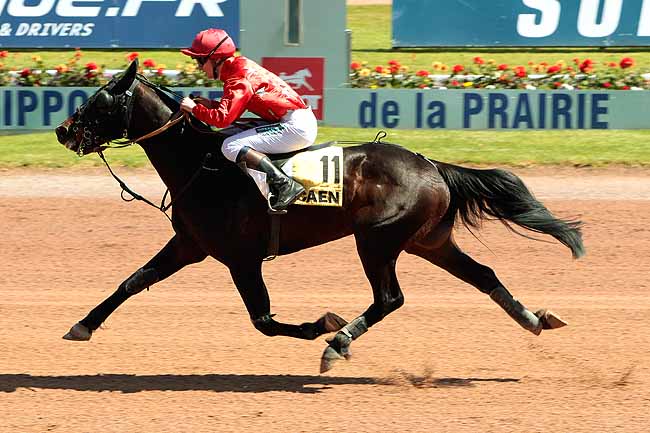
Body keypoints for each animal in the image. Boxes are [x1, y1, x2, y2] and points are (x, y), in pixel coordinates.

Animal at [54, 59, 584, 372]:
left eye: (99, 101)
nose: (62, 130)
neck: (202, 163)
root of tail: (433, 166)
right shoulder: (191, 244)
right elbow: (132, 281)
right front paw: (82, 325)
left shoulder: (239, 257)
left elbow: (264, 320)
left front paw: (324, 325)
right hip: (428, 241)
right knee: (483, 274)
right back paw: (533, 318)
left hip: (377, 241)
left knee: (390, 298)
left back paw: (339, 342)